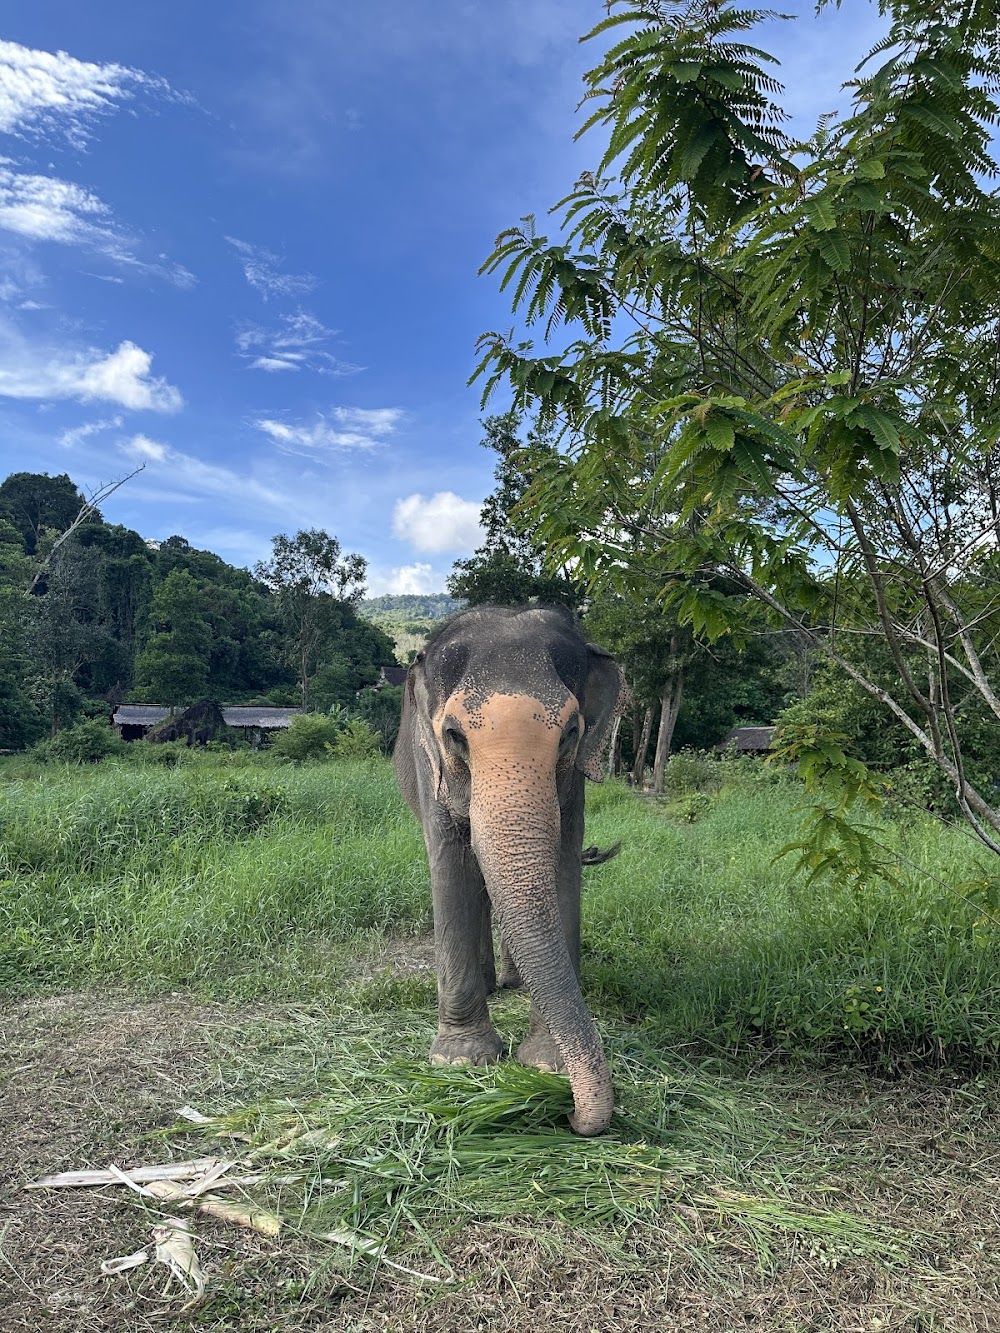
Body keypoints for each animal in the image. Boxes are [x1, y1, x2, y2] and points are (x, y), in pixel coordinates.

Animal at [394, 605, 624, 1135]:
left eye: (571, 733)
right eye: (454, 735)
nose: (573, 1114)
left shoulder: (573, 783)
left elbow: (562, 866)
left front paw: (545, 1066)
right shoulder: (429, 763)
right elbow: (452, 866)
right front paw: (461, 1061)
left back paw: (512, 982)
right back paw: (490, 985)